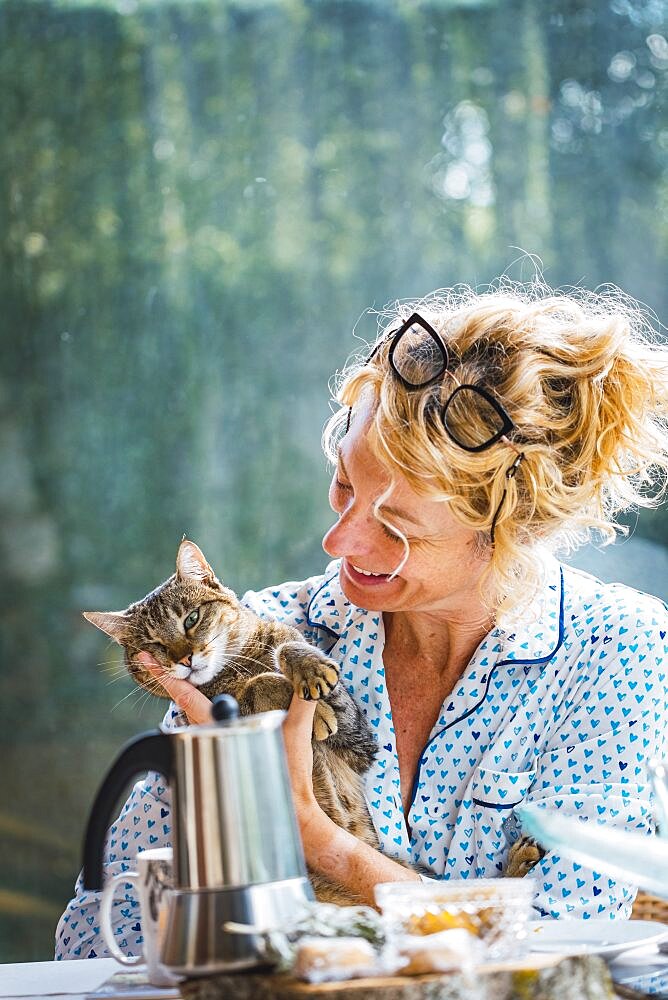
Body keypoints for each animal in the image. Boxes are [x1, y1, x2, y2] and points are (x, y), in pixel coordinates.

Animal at [85, 540, 380, 908]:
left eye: (191, 619)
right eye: (154, 645)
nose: (185, 659)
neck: (238, 666)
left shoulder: (360, 742)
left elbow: (288, 644)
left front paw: (310, 670)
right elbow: (258, 686)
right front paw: (307, 707)